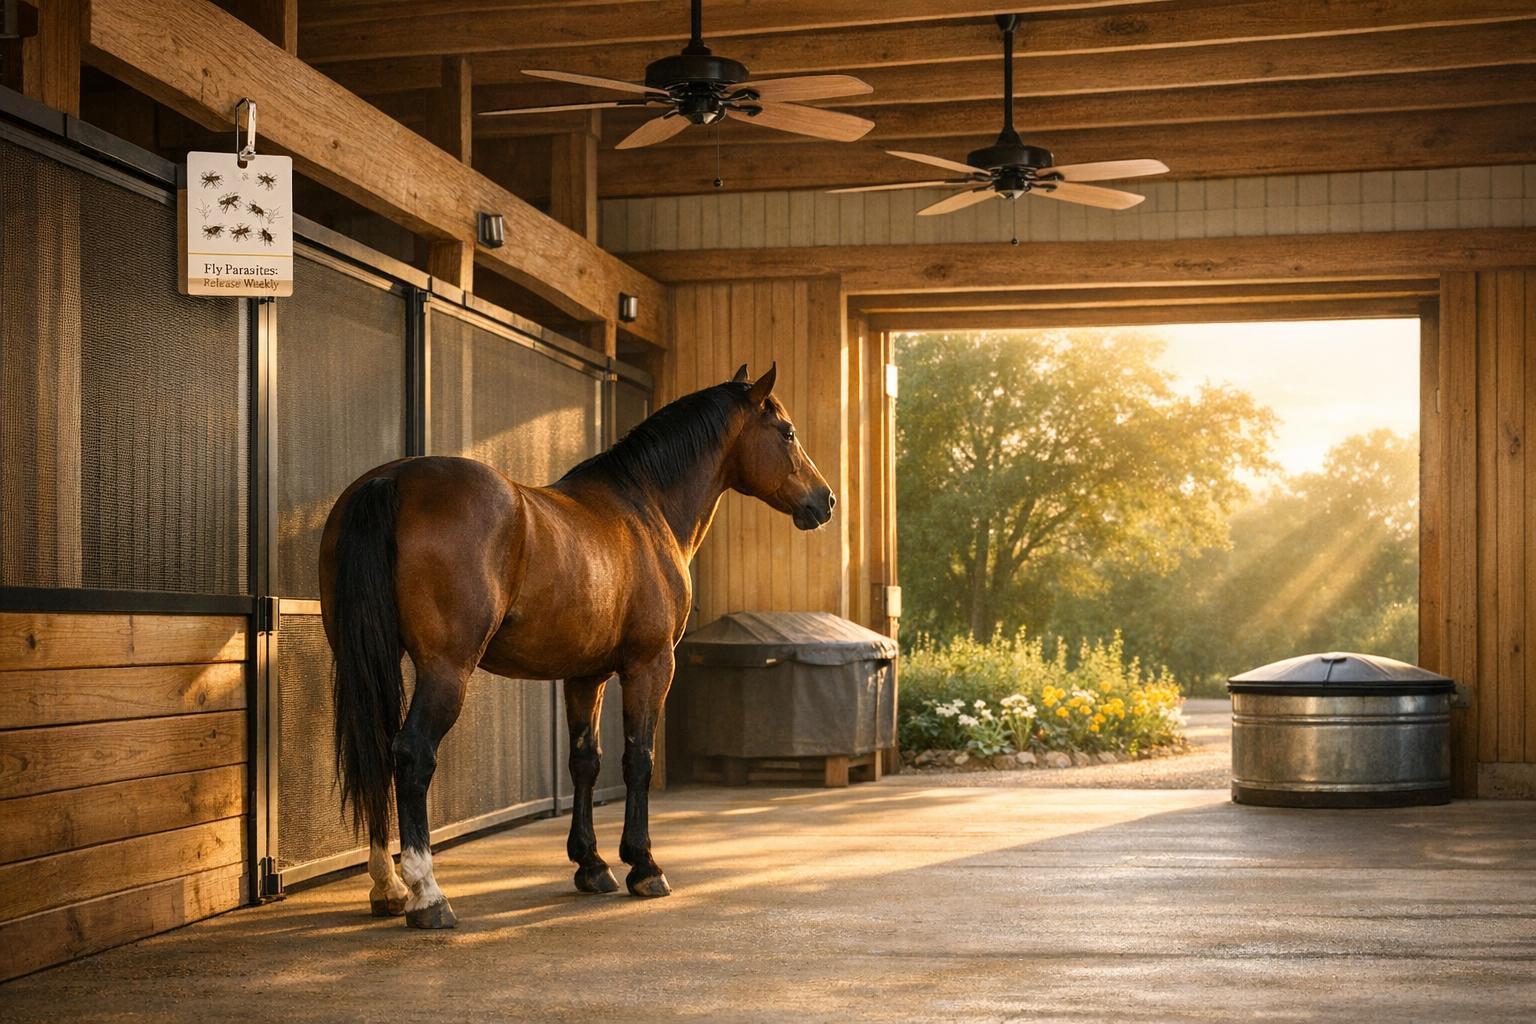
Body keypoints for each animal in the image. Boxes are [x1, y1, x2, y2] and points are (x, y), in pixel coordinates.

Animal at [319, 363, 834, 928]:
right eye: (787, 432)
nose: (825, 500)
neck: (644, 508)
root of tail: (391, 480)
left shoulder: (585, 675)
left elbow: (585, 761)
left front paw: (591, 864)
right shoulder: (651, 666)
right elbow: (637, 758)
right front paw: (643, 866)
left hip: (371, 660)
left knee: (375, 746)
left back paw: (387, 887)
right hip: (446, 670)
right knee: (411, 754)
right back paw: (428, 894)